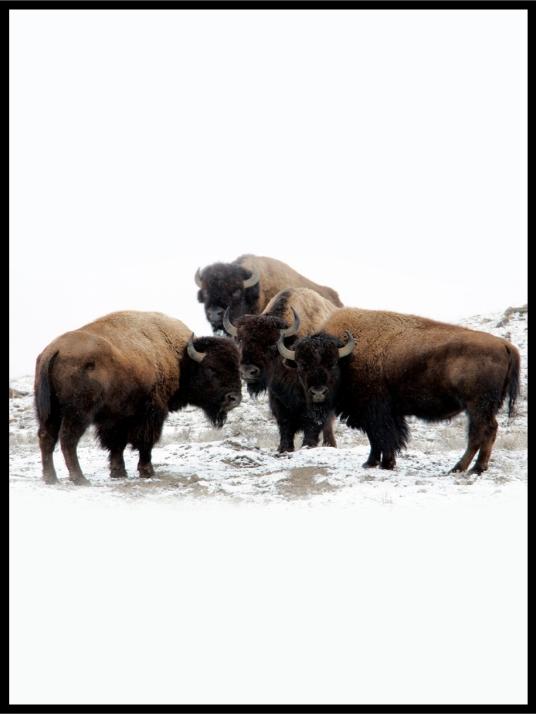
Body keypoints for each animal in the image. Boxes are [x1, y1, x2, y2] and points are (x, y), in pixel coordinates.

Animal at [34, 311, 241, 485]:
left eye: (236, 367)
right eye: (211, 369)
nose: (234, 398)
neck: (180, 359)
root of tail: (54, 351)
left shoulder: (116, 418)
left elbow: (117, 445)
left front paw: (118, 472)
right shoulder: (151, 414)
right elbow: (145, 443)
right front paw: (147, 471)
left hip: (49, 412)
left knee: (46, 438)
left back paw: (51, 478)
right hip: (78, 414)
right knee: (67, 440)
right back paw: (80, 479)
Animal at [223, 288, 339, 452]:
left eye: (272, 344)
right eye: (240, 340)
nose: (247, 371)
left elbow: (312, 422)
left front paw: (308, 445)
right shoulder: (277, 398)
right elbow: (284, 424)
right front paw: (284, 448)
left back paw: (330, 444)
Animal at [277, 307, 520, 473]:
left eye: (332, 364)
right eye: (302, 365)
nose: (318, 393)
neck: (350, 356)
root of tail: (505, 345)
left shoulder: (375, 411)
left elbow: (381, 436)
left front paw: (381, 463)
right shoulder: (382, 413)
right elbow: (380, 438)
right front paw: (376, 463)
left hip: (476, 406)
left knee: (479, 433)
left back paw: (460, 469)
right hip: (484, 408)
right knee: (490, 431)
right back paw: (477, 468)